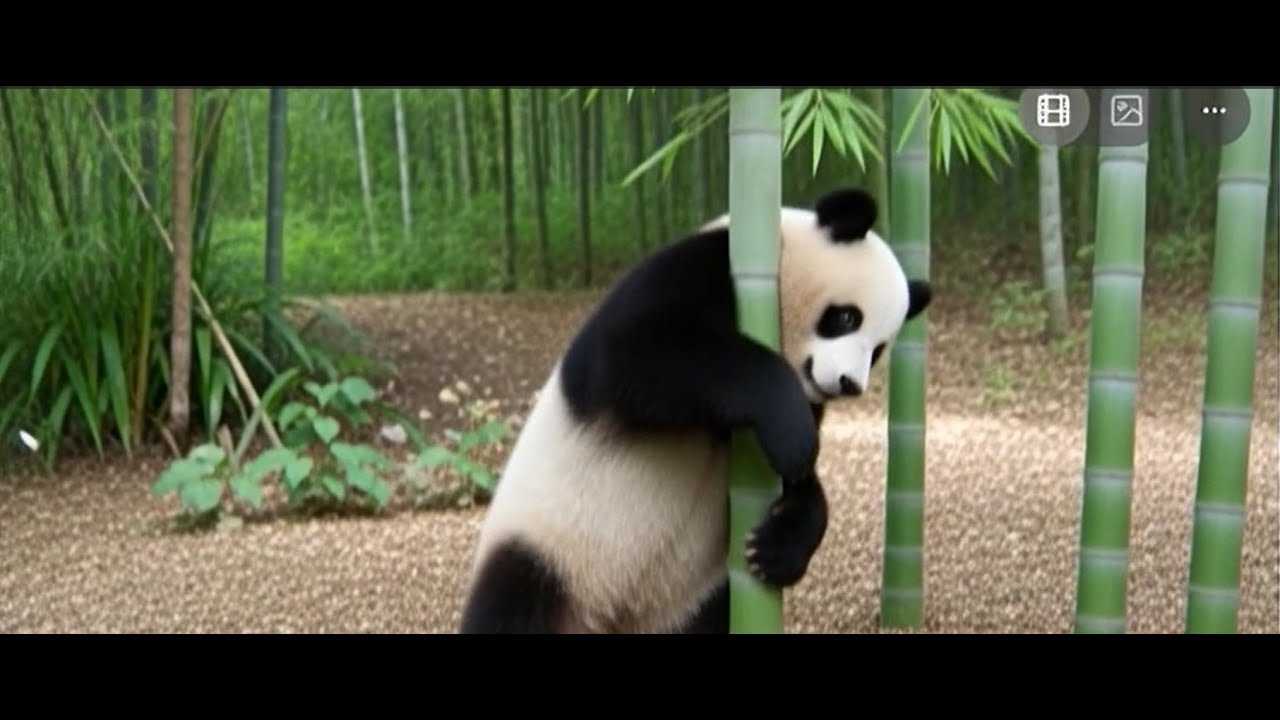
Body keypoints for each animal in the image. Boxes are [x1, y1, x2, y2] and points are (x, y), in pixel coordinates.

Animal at [457, 186, 932, 634]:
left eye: (878, 350)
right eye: (847, 318)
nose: (849, 384)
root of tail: (614, 618)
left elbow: (801, 489)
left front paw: (776, 548)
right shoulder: (705, 268)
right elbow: (638, 349)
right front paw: (793, 434)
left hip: (694, 599)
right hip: (550, 550)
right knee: (513, 606)